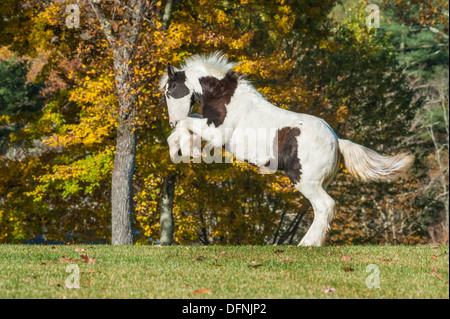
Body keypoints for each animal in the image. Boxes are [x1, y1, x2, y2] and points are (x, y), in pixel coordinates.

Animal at [160, 53, 414, 248]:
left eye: (170, 92)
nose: (171, 120)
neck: (225, 97)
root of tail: (336, 141)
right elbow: (188, 122)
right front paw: (180, 148)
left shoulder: (217, 134)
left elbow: (188, 123)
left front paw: (189, 151)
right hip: (315, 182)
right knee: (322, 209)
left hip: (305, 181)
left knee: (325, 206)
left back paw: (307, 244)